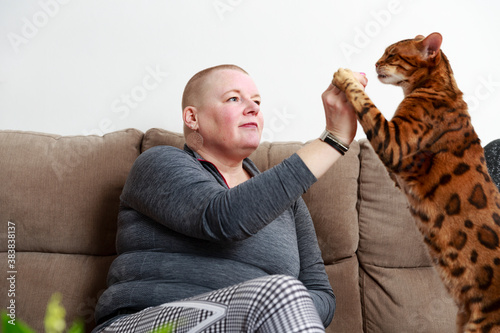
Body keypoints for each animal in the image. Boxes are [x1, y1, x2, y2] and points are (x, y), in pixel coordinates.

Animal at [332, 31, 500, 332]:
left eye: (392, 54)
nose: (375, 63)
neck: (440, 86)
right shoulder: (398, 168)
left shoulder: (395, 143)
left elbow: (367, 105)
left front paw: (345, 76)